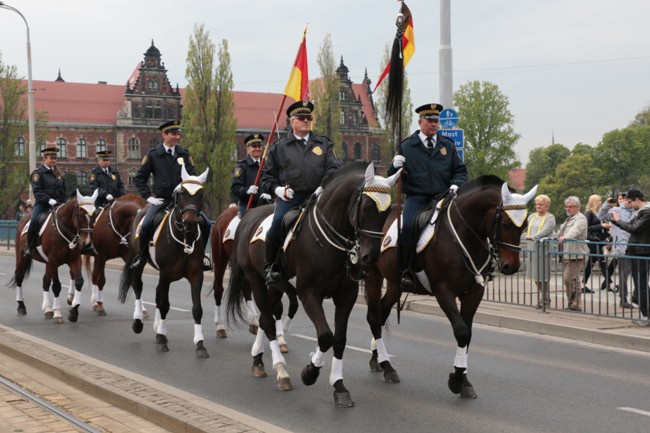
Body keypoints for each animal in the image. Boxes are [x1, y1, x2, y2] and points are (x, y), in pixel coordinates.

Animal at [8, 187, 98, 322]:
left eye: (95, 215)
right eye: (81, 215)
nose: (86, 244)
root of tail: (23, 220)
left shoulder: (75, 259)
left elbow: (79, 281)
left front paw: (74, 312)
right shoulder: (54, 261)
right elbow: (56, 286)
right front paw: (58, 313)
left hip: (47, 263)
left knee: (45, 281)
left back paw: (47, 309)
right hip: (21, 258)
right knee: (19, 277)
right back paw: (21, 306)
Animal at [116, 165, 208, 358]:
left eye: (201, 194)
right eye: (182, 193)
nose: (190, 221)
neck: (185, 237)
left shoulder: (196, 275)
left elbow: (197, 309)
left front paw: (200, 344)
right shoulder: (166, 274)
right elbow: (164, 304)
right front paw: (161, 339)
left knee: (157, 293)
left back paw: (158, 326)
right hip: (139, 263)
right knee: (138, 287)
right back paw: (138, 322)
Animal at [210, 205, 298, 352]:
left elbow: (284, 306)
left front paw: (280, 337)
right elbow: (277, 307)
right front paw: (279, 337)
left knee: (246, 288)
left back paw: (253, 322)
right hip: (221, 259)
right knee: (219, 289)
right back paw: (220, 327)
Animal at [227, 161, 400, 404]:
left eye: (386, 212)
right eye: (366, 207)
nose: (370, 257)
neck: (330, 242)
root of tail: (248, 216)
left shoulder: (346, 295)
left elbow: (339, 340)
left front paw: (339, 386)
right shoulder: (308, 293)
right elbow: (326, 336)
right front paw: (310, 372)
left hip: (277, 286)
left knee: (264, 317)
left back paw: (259, 360)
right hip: (256, 279)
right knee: (268, 322)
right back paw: (281, 371)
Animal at [362, 174, 536, 396]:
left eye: (524, 225)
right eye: (505, 223)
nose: (511, 266)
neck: (464, 236)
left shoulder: (474, 293)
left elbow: (468, 335)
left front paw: (464, 380)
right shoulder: (443, 291)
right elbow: (461, 332)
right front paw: (457, 379)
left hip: (394, 284)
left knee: (382, 313)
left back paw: (377, 359)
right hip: (373, 276)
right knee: (374, 317)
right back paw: (387, 366)